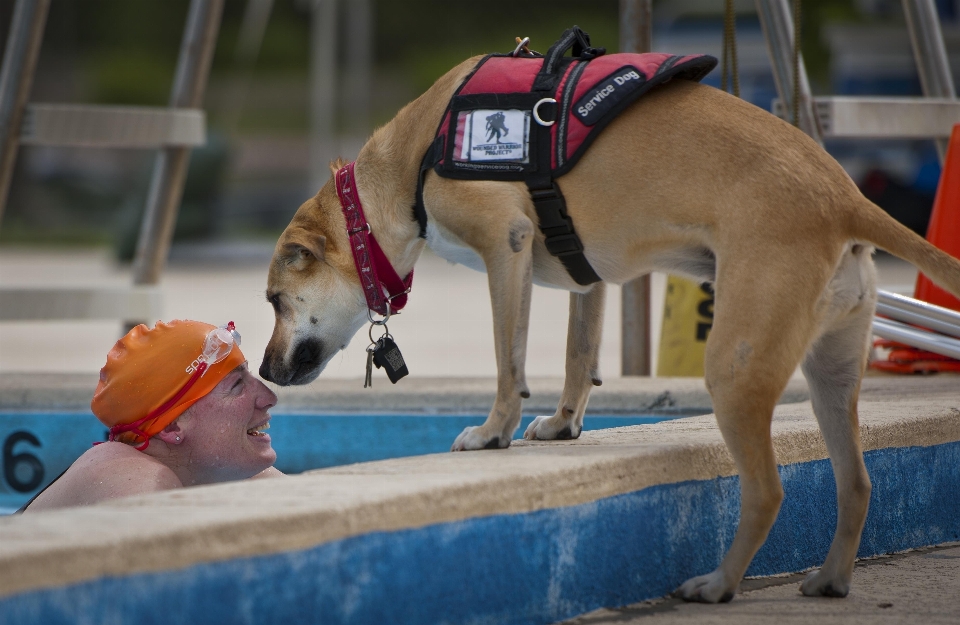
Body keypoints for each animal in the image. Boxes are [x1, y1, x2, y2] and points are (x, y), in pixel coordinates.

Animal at [260, 56, 960, 604]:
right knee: (858, 483)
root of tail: (846, 197)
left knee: (766, 491)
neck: (413, 160)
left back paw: (719, 584)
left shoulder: (506, 247)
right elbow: (578, 356)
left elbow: (510, 363)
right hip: (831, 375)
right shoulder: (585, 274)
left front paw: (493, 433)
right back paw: (830, 579)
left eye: (272, 300)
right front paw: (563, 425)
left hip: (735, 369)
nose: (263, 370)